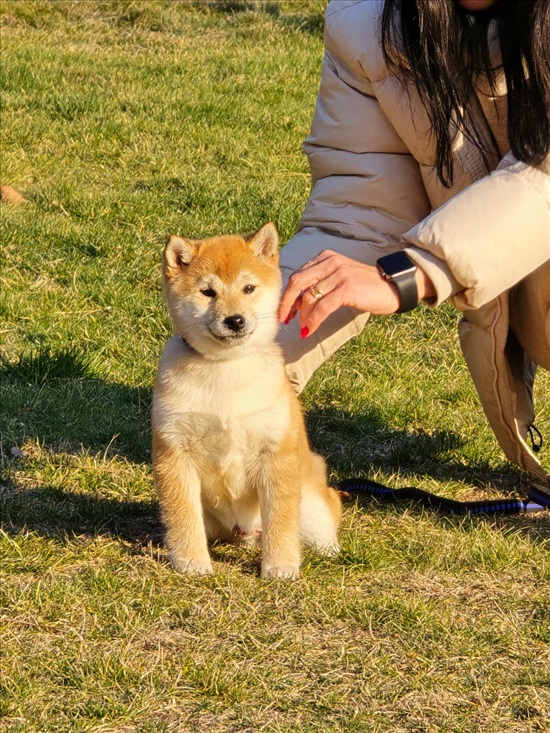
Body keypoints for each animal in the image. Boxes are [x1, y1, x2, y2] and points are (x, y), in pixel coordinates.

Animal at [151, 223, 340, 576]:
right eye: (207, 292)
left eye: (249, 288)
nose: (235, 319)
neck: (226, 369)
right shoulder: (174, 451)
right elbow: (183, 518)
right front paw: (192, 562)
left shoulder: (276, 453)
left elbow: (281, 520)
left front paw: (280, 567)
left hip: (313, 504)